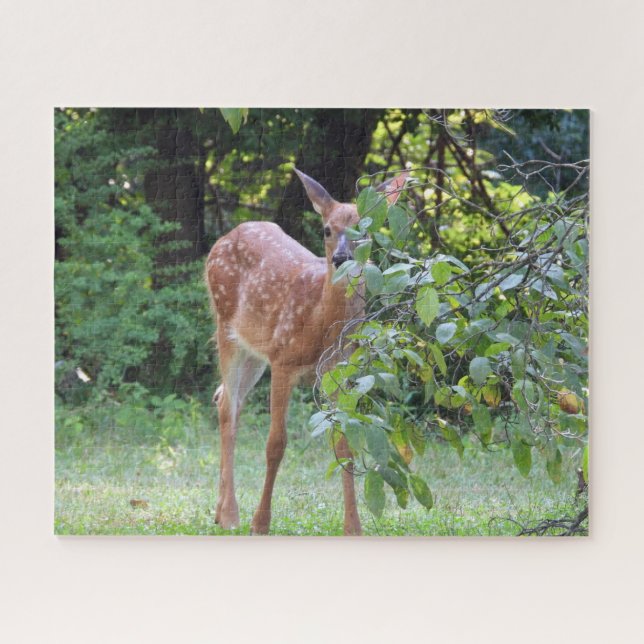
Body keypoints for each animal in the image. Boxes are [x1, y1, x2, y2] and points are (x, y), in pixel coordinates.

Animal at [205, 168, 408, 535]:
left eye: (366, 228)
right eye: (327, 229)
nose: (341, 258)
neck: (319, 321)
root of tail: (226, 236)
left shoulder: (339, 371)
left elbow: (344, 444)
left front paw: (353, 527)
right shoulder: (282, 360)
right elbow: (276, 443)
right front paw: (260, 523)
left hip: (255, 350)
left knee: (225, 397)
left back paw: (219, 510)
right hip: (226, 327)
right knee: (228, 405)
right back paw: (230, 514)